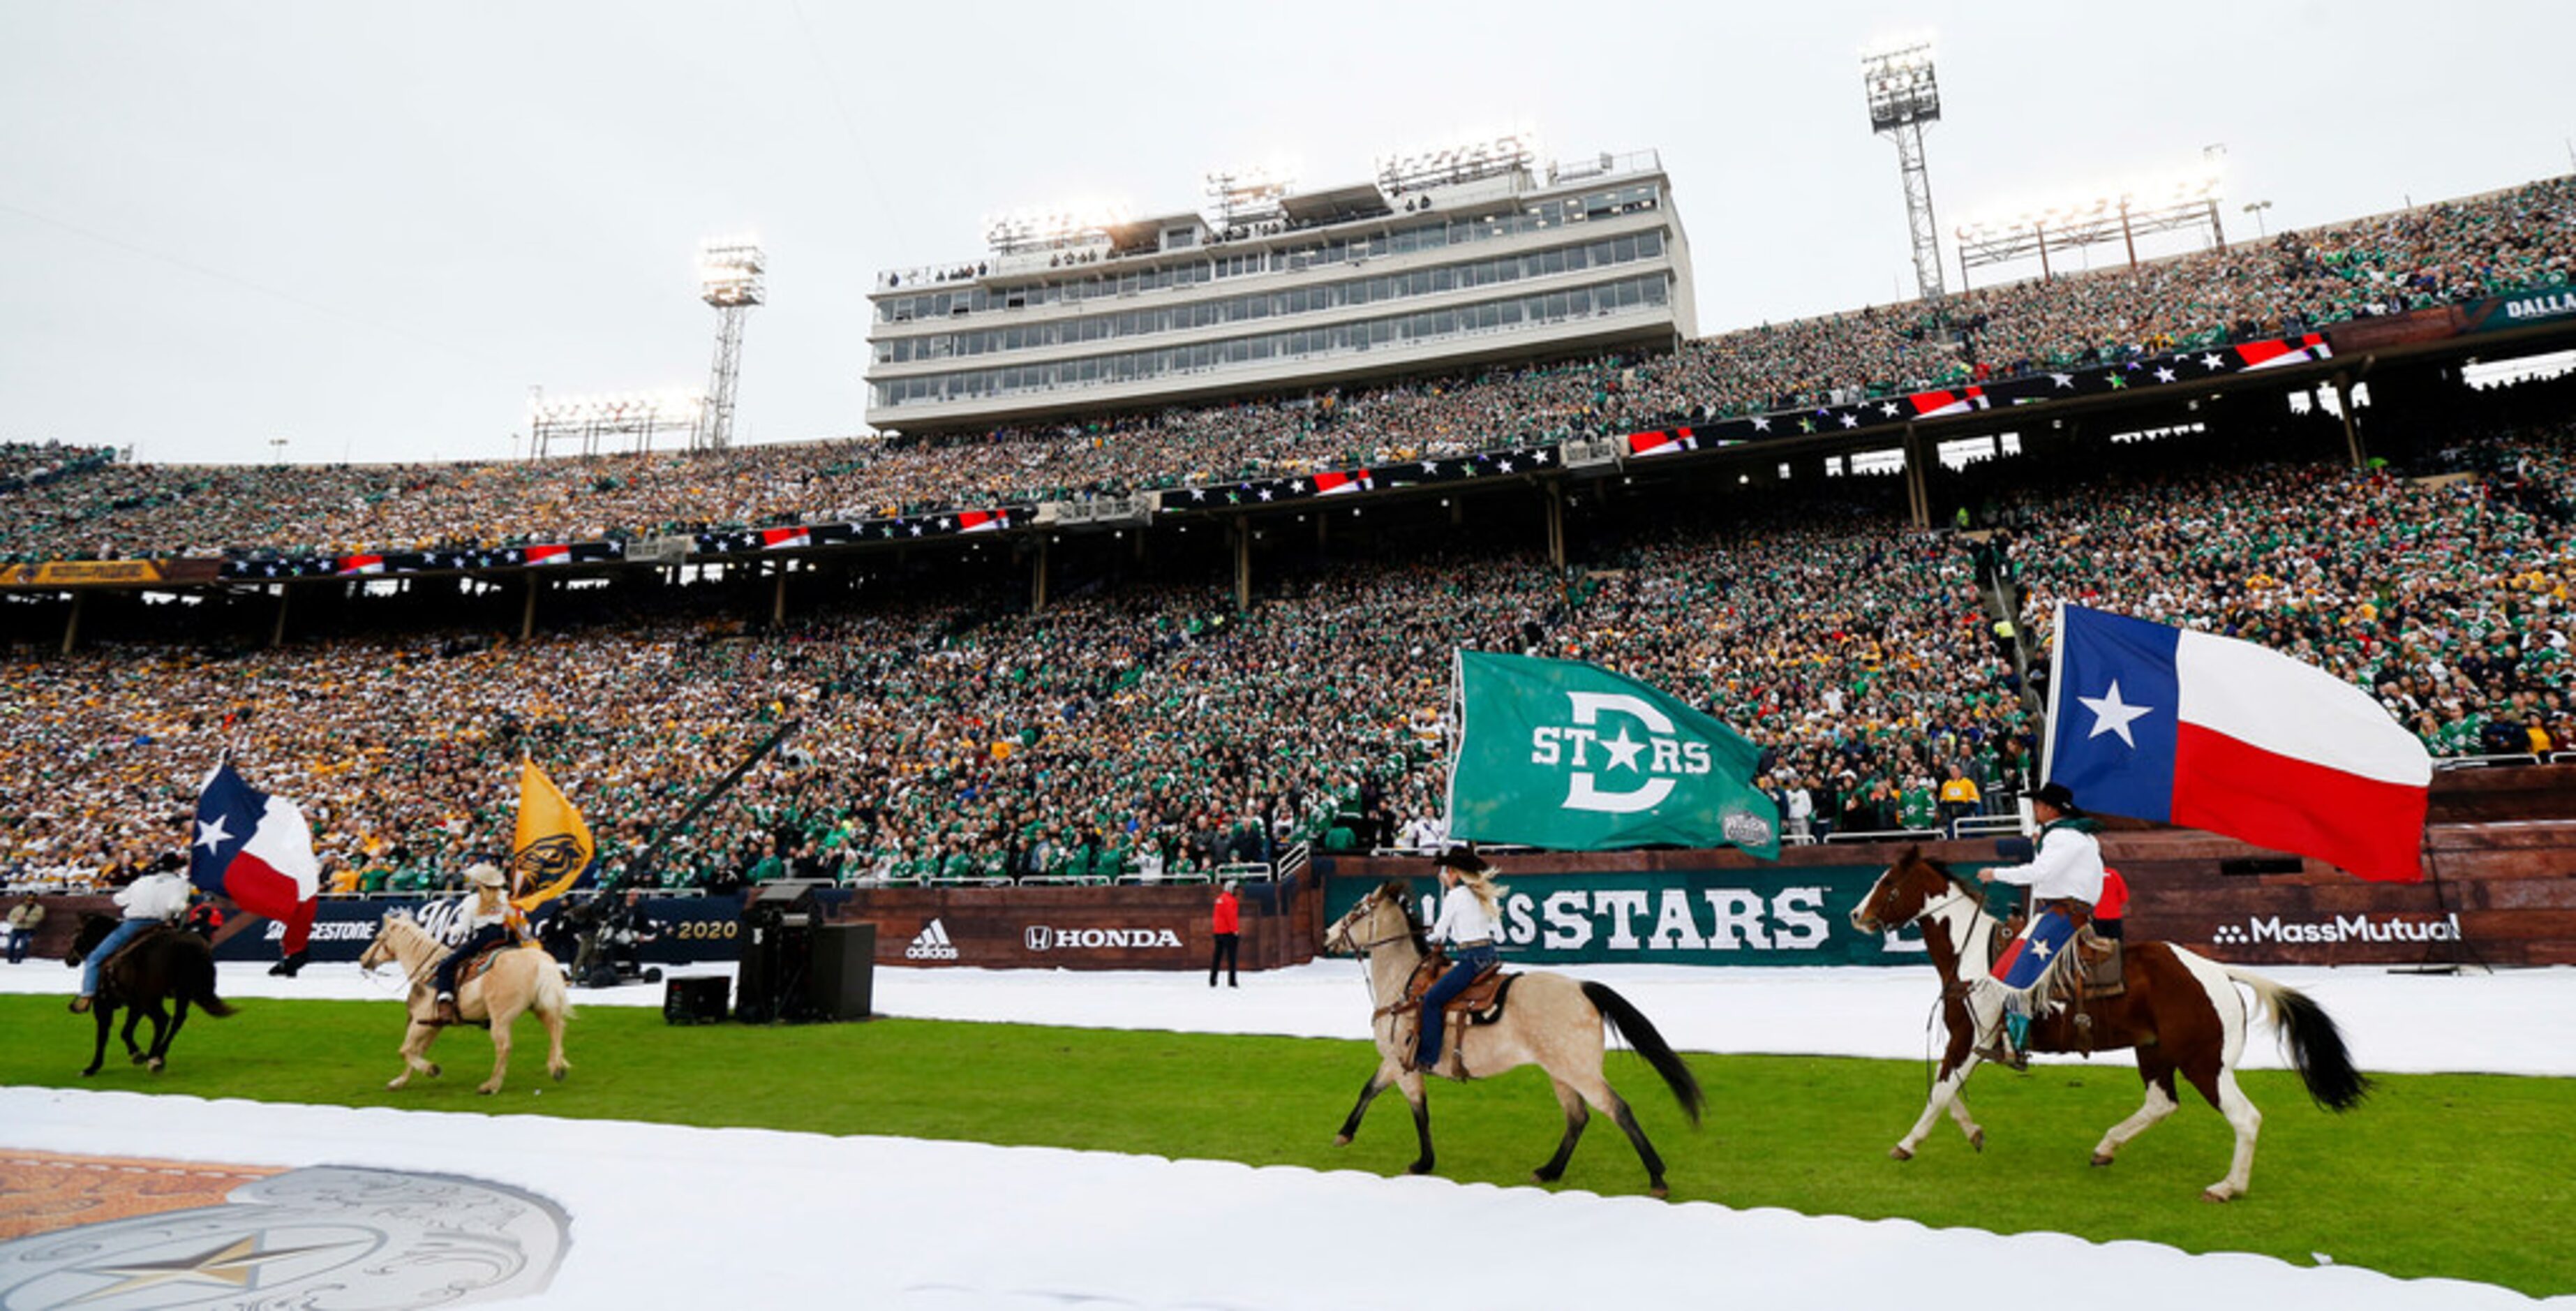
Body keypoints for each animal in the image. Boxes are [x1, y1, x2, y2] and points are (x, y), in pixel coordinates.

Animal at [66, 912, 234, 1071]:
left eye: (77, 931)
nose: (69, 959)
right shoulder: (136, 1005)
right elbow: (126, 1031)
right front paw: (137, 1054)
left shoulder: (104, 1005)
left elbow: (103, 1035)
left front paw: (93, 1067)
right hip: (178, 994)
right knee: (176, 1020)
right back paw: (158, 1056)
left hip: (150, 1000)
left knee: (162, 1020)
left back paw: (154, 1058)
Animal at [355, 912, 567, 1092]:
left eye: (378, 938)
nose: (363, 959)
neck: (428, 968)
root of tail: (540, 961)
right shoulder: (433, 1024)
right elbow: (417, 1050)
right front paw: (399, 1082)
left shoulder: (420, 1022)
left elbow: (406, 1050)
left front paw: (432, 1070)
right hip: (541, 1006)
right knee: (555, 1028)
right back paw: (557, 1067)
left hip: (501, 1018)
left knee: (504, 1046)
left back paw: (491, 1085)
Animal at [1318, 880, 1700, 1194]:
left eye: (1357, 909)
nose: (1327, 934)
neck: (1404, 983)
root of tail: (1582, 987)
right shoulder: (1392, 1061)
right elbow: (1370, 1089)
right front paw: (1344, 1134)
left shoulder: (1404, 1064)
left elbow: (1419, 1111)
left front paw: (1423, 1163)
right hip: (1560, 1072)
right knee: (1577, 1118)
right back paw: (1549, 1171)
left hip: (1579, 1071)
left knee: (1616, 1109)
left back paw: (1656, 1177)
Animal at [1854, 850, 2369, 1194]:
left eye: (1888, 881)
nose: (1857, 914)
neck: (1973, 957)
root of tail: (2218, 973)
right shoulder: (1971, 1043)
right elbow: (1950, 1092)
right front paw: (1974, 1133)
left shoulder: (1969, 1035)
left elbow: (1941, 1091)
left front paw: (1907, 1143)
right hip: (2155, 1050)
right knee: (2161, 1103)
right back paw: (2106, 1147)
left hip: (2204, 1063)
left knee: (2245, 1117)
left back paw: (2227, 1187)